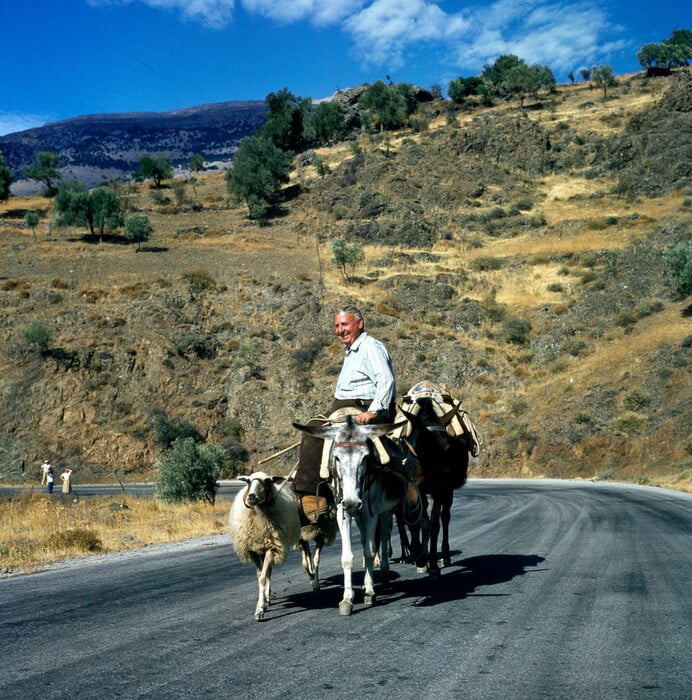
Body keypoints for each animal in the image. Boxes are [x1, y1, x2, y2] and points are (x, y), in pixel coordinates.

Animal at [228, 474, 302, 620]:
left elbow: (263, 577)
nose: (251, 496)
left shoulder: (271, 548)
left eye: (268, 482)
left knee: (268, 572)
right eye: (248, 481)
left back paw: (266, 599)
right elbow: (259, 576)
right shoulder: (253, 551)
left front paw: (260, 610)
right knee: (267, 572)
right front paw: (261, 605)